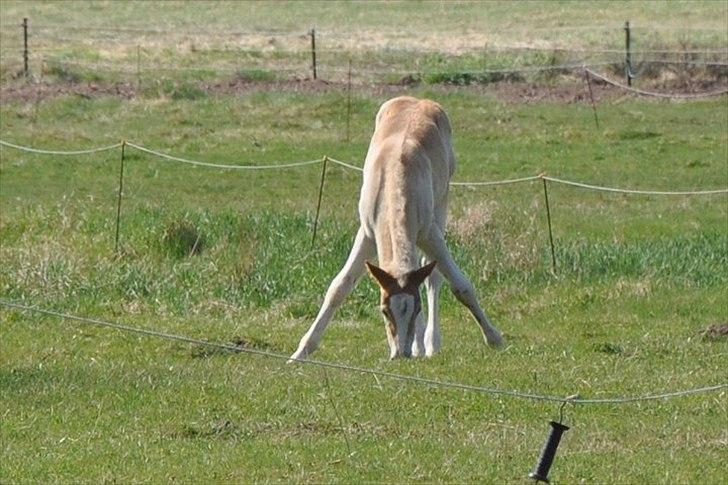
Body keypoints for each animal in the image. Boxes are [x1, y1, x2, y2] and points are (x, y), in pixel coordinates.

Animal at [288, 95, 504, 360]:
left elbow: (460, 286)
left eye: (416, 308)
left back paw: (430, 343)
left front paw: (494, 338)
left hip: (442, 202)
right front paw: (301, 351)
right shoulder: (367, 234)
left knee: (432, 274)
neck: (395, 177)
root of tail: (419, 99)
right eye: (384, 310)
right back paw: (419, 345)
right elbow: (339, 286)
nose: (400, 353)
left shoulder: (429, 234)